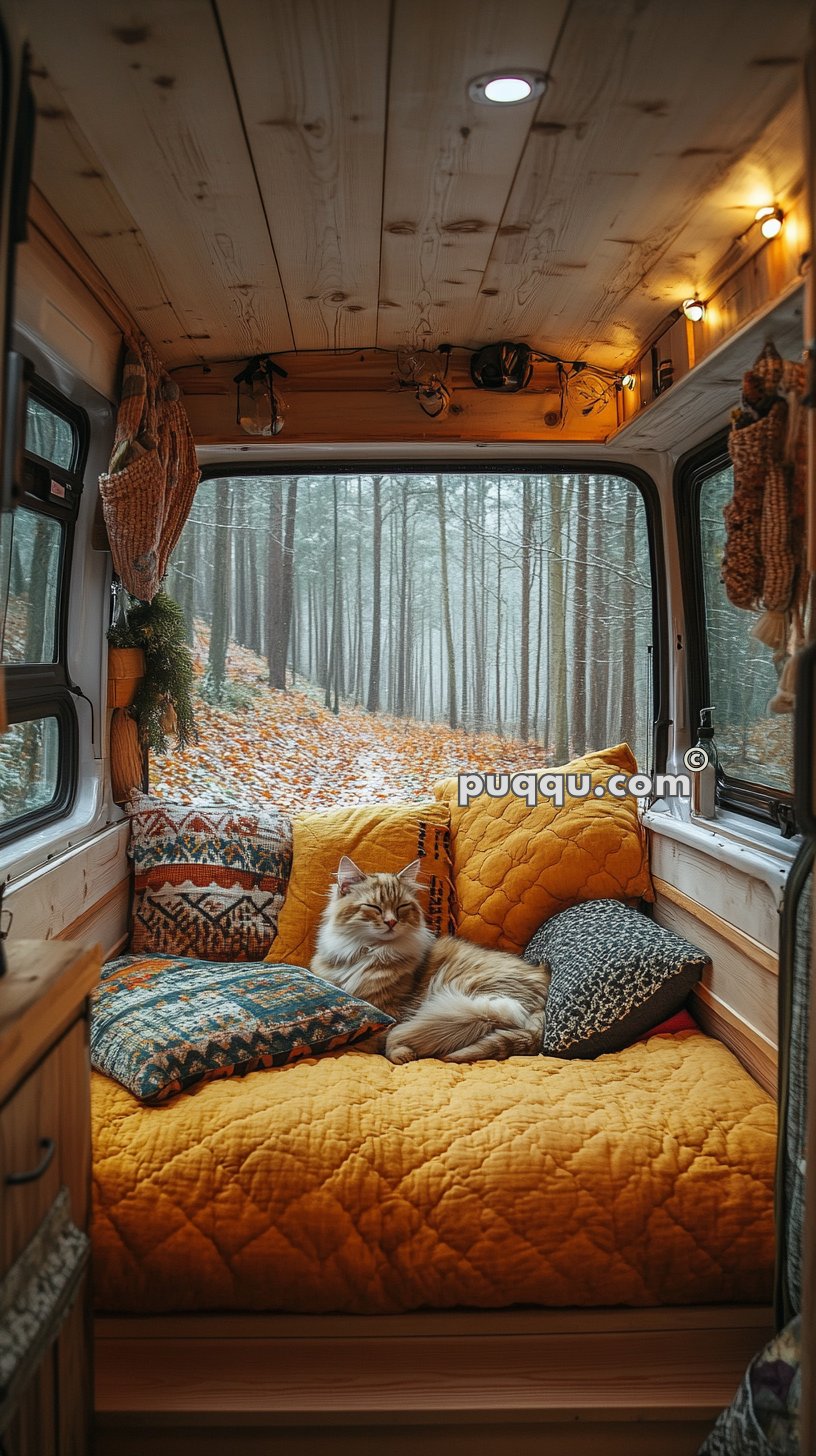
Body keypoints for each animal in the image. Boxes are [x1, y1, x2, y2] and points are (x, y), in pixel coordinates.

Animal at [308, 856, 550, 1065]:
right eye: (374, 907)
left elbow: (379, 1037)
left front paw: (395, 1052)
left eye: (401, 907)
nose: (391, 922)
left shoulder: (394, 1009)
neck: (369, 951)